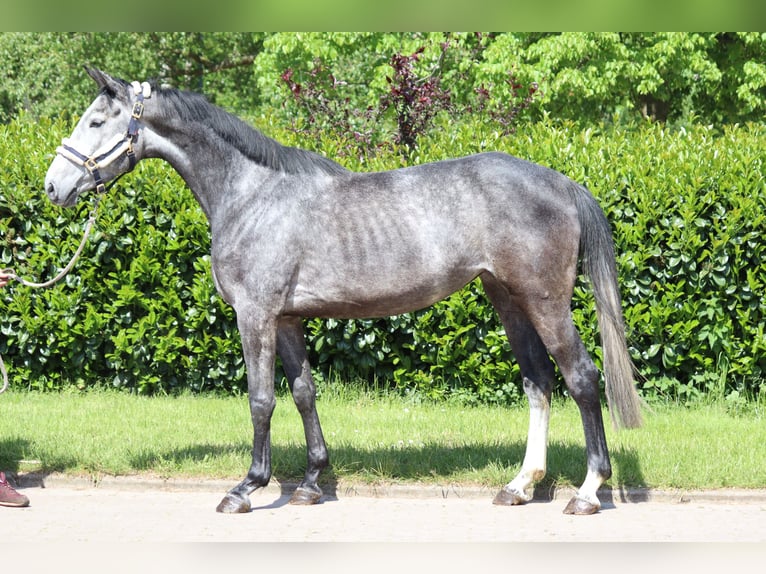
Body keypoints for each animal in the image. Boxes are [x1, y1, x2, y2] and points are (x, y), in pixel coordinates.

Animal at [42, 67, 640, 516]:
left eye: (97, 120)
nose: (53, 186)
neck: (252, 195)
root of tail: (563, 182)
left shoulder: (255, 316)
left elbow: (261, 399)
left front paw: (247, 487)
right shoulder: (286, 319)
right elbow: (304, 392)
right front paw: (310, 483)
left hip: (545, 303)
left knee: (581, 378)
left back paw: (588, 492)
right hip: (509, 301)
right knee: (539, 382)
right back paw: (520, 485)